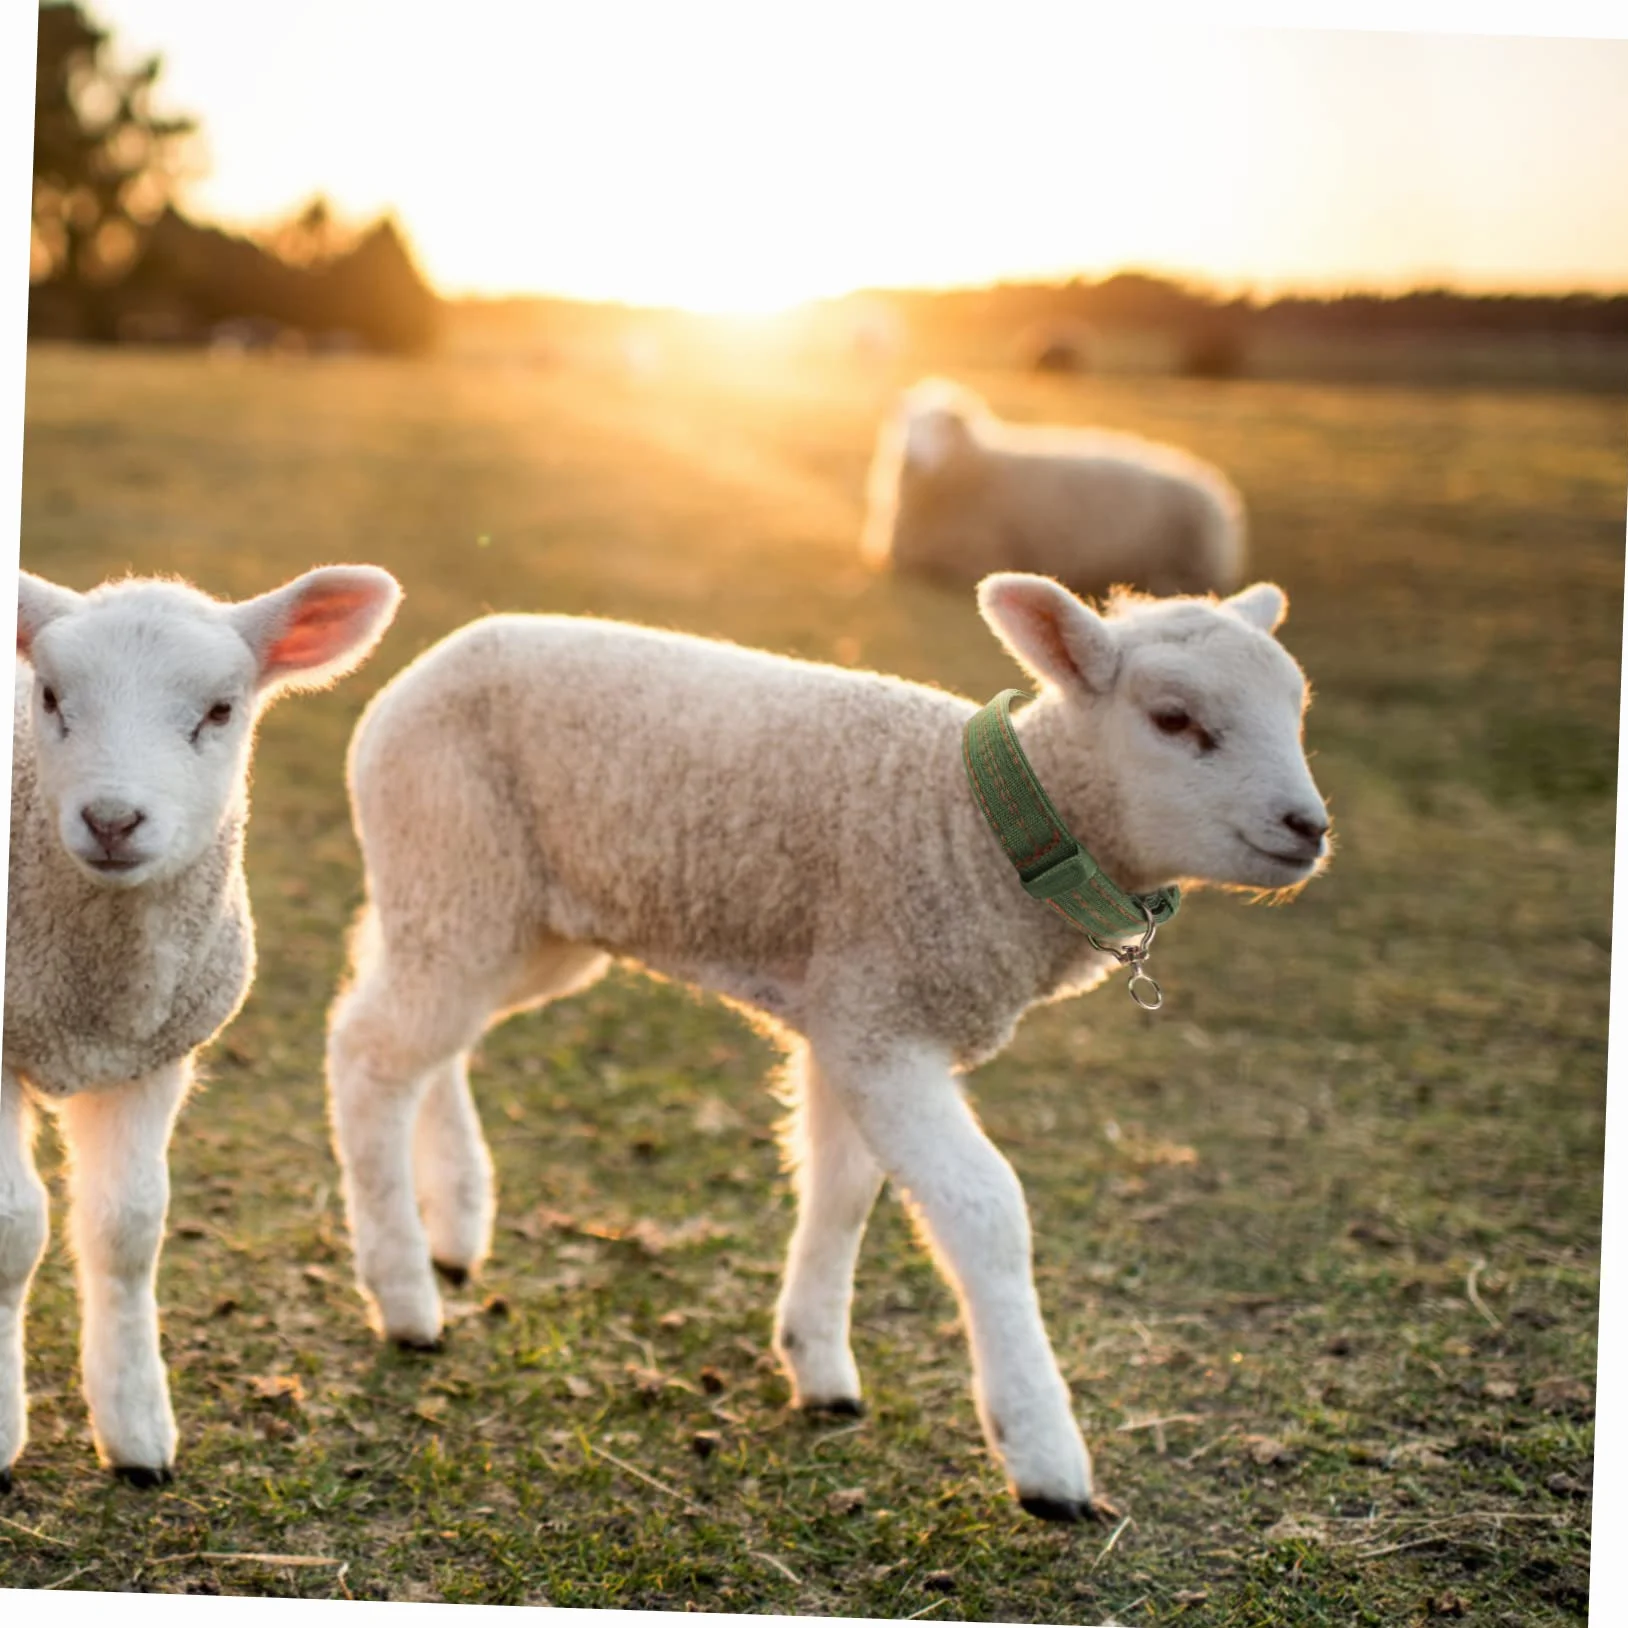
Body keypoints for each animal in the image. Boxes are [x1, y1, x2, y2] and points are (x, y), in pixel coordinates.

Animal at [2, 565, 401, 1491]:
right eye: (51, 696)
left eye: (220, 711)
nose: (113, 821)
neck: (96, 993)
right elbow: (12, 1229)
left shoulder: (153, 1054)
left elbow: (128, 1229)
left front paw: (137, 1432)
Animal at [325, 572, 1329, 1521]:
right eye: (1173, 719)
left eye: (1295, 708)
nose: (1308, 828)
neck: (979, 831)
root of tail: (428, 665)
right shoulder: (882, 1022)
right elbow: (984, 1211)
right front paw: (1043, 1455)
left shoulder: (850, 1016)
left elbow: (844, 1192)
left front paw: (817, 1364)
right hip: (456, 862)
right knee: (370, 1052)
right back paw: (404, 1295)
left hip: (516, 917)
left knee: (426, 1036)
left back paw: (456, 1222)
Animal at [861, 378, 1247, 600]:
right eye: (906, 424)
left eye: (940, 428)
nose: (910, 457)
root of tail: (1215, 487)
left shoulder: (978, 557)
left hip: (1194, 559)